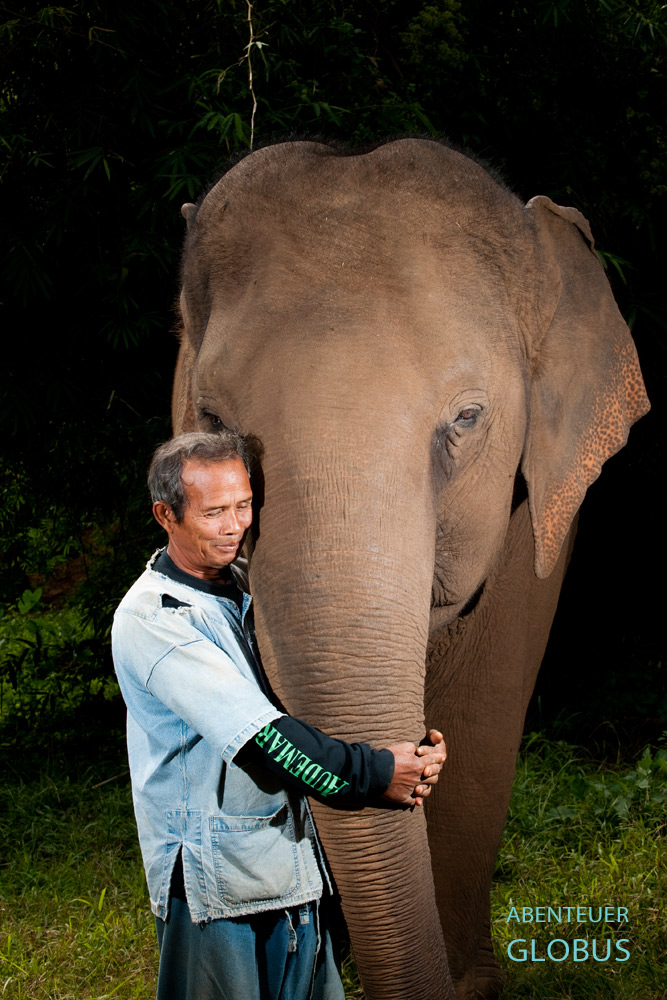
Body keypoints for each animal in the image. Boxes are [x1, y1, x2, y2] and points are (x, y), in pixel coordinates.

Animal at [171, 139, 649, 1000]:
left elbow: (485, 718)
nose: (408, 758)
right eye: (213, 419)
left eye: (467, 418)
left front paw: (470, 985)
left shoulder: (534, 523)